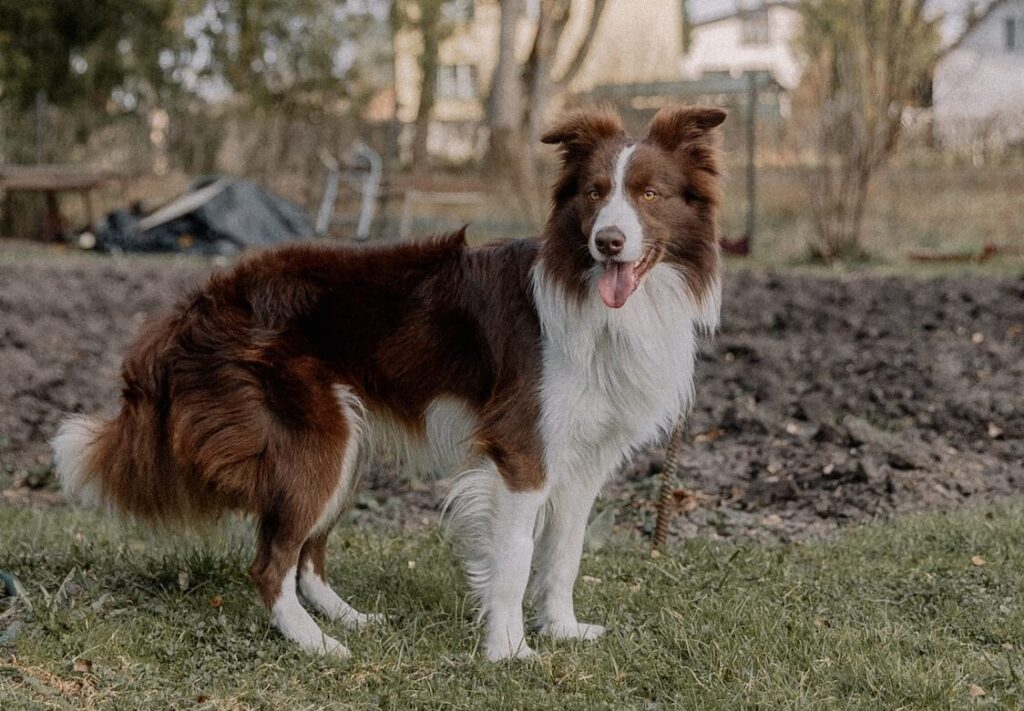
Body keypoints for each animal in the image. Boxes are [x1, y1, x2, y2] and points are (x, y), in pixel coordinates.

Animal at [56, 104, 724, 663]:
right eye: (594, 193)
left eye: (649, 194)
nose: (608, 241)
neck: (589, 291)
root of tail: (193, 305)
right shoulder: (521, 451)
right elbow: (513, 559)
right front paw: (509, 653)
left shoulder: (584, 459)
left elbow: (564, 555)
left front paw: (561, 631)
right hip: (315, 443)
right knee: (270, 564)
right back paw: (317, 645)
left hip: (347, 441)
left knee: (306, 557)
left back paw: (348, 619)